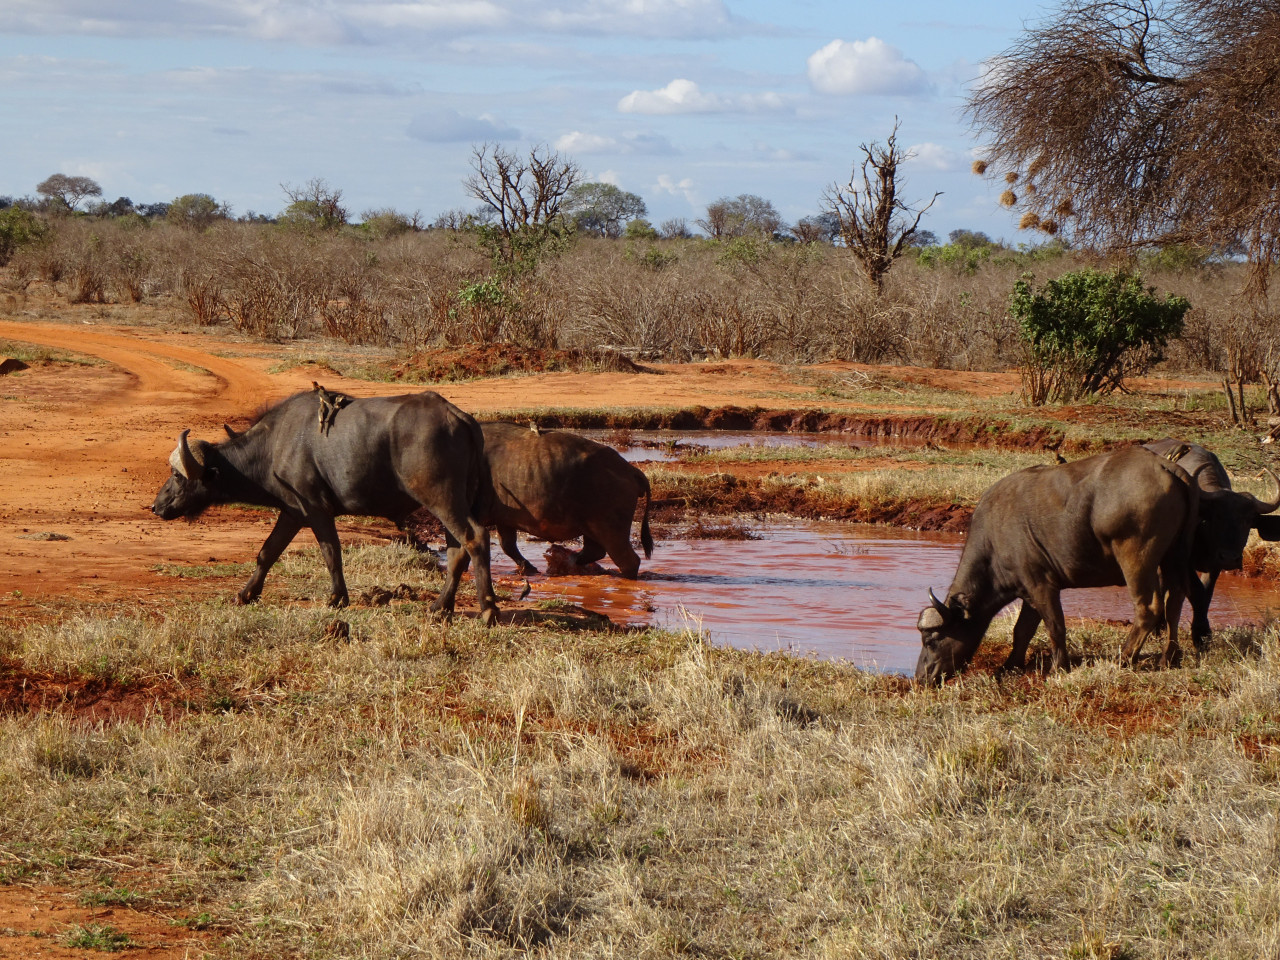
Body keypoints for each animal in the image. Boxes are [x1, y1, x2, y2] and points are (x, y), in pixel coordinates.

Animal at [154, 386, 499, 627]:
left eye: (177, 475)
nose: (156, 506)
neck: (276, 444)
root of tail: (461, 418)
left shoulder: (317, 511)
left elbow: (331, 553)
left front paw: (337, 598)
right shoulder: (293, 512)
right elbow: (267, 552)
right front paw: (246, 594)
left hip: (441, 499)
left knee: (475, 538)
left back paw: (488, 609)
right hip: (454, 502)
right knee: (456, 551)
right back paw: (441, 608)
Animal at [481, 424, 655, 583]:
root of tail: (630, 470)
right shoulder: (504, 520)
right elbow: (508, 545)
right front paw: (528, 568)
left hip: (611, 530)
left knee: (628, 561)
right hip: (593, 528)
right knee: (594, 551)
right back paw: (572, 561)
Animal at [911, 445, 1198, 686]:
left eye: (931, 640)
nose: (922, 677)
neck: (994, 539)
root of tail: (1165, 466)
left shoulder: (1042, 585)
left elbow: (1055, 626)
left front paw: (1058, 667)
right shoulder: (1028, 591)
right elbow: (1022, 631)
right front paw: (1009, 666)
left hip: (1136, 558)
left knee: (1149, 608)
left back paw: (1124, 658)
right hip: (1175, 556)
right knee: (1174, 603)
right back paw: (1168, 658)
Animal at [1141, 440, 1280, 650]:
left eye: (1248, 520)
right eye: (1216, 517)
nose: (1231, 558)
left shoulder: (1215, 564)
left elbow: (1206, 594)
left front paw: (1201, 633)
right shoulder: (1184, 562)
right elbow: (1196, 592)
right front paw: (1200, 633)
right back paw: (1157, 628)